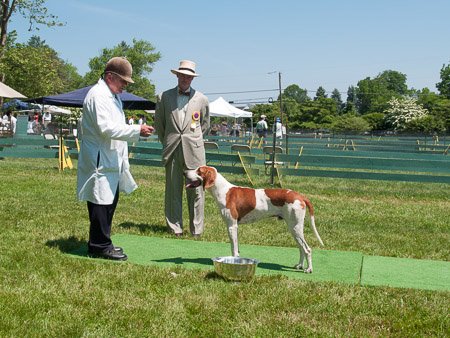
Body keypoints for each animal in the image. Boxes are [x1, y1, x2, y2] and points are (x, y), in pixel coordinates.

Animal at [184, 165, 324, 274]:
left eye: (199, 170)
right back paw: (299, 265)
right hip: (294, 228)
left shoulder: (231, 226)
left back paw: (308, 269)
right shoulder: (234, 227)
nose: (184, 172)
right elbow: (235, 248)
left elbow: (234, 250)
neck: (223, 190)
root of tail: (299, 196)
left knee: (307, 249)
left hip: (294, 227)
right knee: (301, 248)